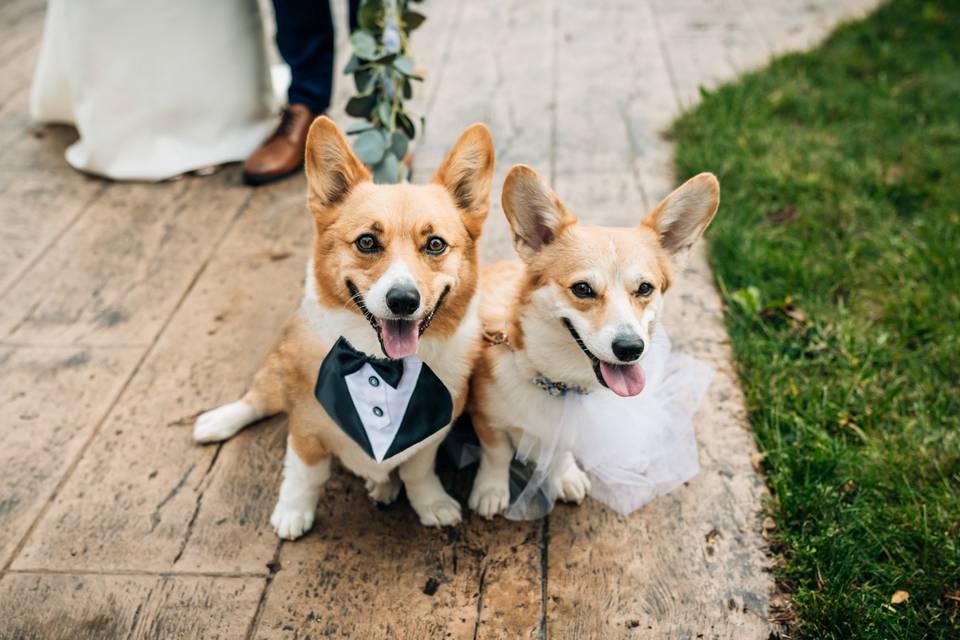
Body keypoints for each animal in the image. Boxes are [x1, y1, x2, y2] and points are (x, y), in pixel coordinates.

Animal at [194, 117, 496, 536]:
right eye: (367, 242)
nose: (403, 301)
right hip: (276, 376)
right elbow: (304, 474)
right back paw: (217, 421)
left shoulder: (432, 434)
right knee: (256, 399)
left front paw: (431, 503)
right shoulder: (305, 428)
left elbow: (418, 471)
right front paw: (293, 512)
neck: (380, 365)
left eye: (435, 244)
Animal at [464, 166, 720, 520]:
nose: (630, 349)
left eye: (645, 288)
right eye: (582, 289)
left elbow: (561, 451)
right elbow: (496, 454)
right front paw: (490, 491)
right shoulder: (485, 417)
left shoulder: (570, 426)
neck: (557, 381)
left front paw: (564, 476)